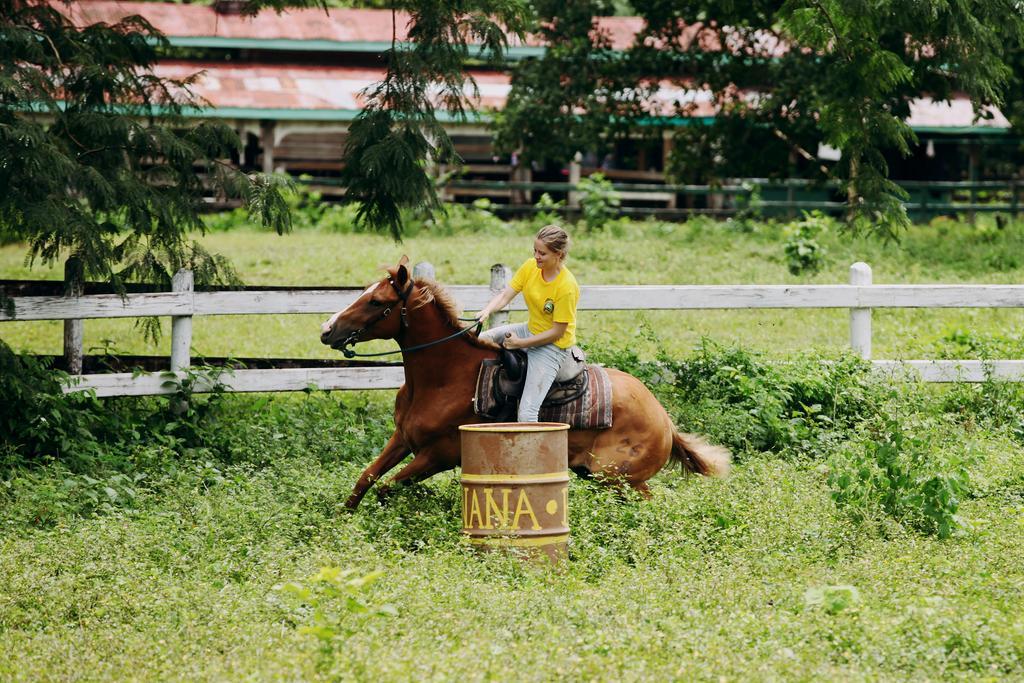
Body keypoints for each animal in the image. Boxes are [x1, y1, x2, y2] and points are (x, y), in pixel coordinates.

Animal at [319, 255, 729, 507]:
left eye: (377, 302)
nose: (327, 330)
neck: (441, 379)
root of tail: (665, 421)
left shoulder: (437, 456)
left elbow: (388, 488)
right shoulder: (403, 438)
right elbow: (366, 478)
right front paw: (344, 517)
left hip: (615, 477)